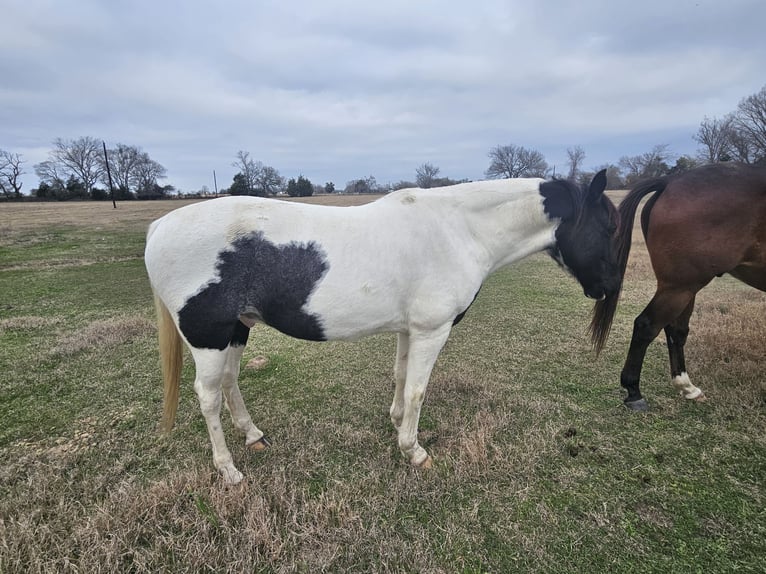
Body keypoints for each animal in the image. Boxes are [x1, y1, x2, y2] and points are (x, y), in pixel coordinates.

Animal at [146, 172, 624, 486]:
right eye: (607, 227)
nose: (608, 287)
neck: (459, 230)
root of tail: (158, 226)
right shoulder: (432, 330)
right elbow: (417, 389)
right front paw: (414, 451)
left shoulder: (409, 329)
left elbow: (399, 376)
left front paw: (395, 424)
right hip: (208, 336)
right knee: (208, 397)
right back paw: (228, 469)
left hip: (236, 330)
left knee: (229, 382)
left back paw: (253, 436)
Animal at [592, 164, 764, 412]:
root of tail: (670, 181)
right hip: (681, 286)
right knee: (647, 325)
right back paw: (634, 392)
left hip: (686, 288)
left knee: (676, 330)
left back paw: (687, 387)